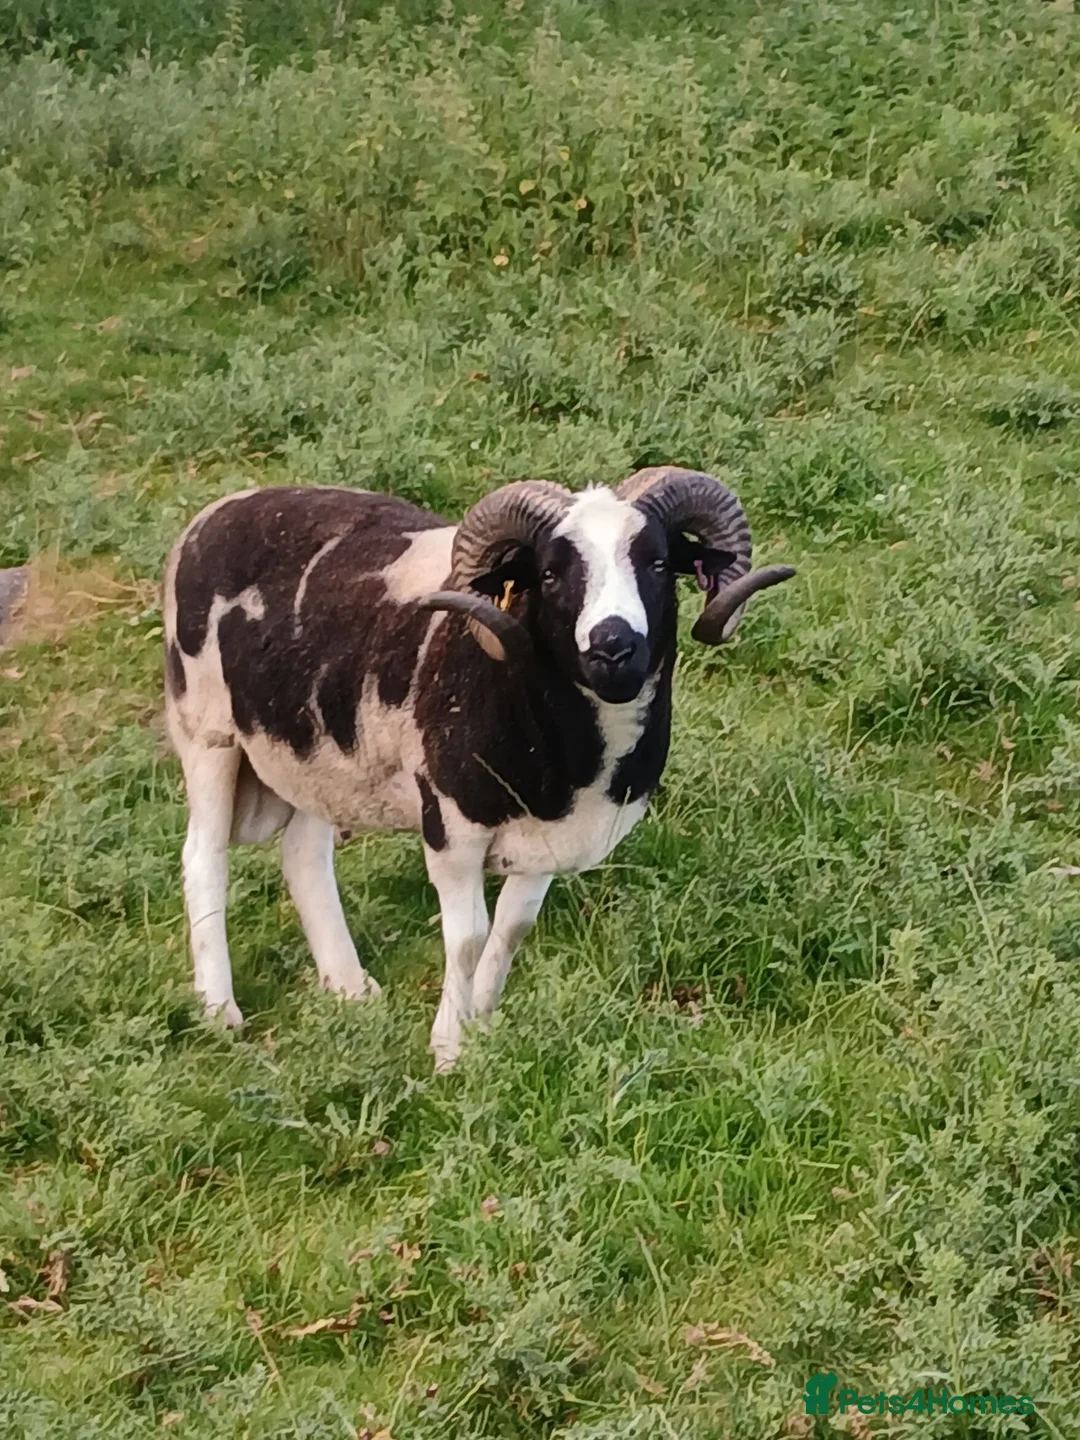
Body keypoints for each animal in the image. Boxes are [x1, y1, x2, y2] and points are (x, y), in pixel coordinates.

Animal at [163, 468, 794, 1069]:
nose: (613, 648)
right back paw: (220, 1010)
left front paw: (483, 1030)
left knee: (304, 856)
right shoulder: (452, 827)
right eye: (549, 575)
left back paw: (349, 987)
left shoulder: (548, 838)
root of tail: (216, 514)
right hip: (207, 733)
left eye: (658, 563)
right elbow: (468, 938)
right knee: (203, 859)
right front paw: (448, 1050)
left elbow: (511, 932)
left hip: (313, 758)